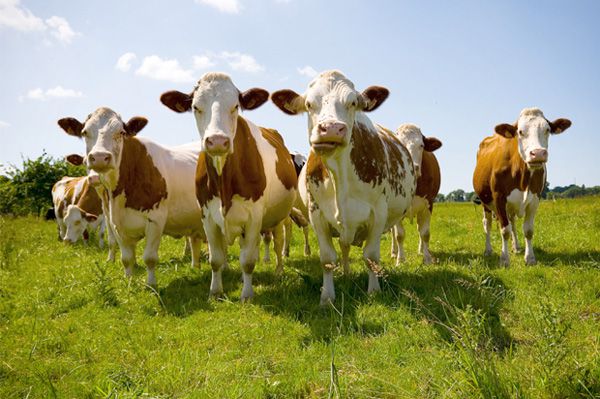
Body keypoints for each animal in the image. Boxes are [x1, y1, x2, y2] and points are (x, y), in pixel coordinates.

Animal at [57, 108, 206, 286]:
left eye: (121, 132)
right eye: (84, 132)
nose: (99, 157)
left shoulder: (156, 221)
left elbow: (149, 258)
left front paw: (151, 284)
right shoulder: (115, 223)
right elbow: (126, 258)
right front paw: (129, 283)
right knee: (195, 240)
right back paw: (195, 267)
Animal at [162, 72, 298, 304]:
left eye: (235, 106)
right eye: (196, 107)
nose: (217, 141)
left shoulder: (254, 217)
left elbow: (248, 260)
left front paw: (247, 294)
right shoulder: (207, 216)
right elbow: (215, 258)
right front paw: (215, 291)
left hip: (279, 216)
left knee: (278, 241)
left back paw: (279, 270)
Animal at [272, 70, 418, 304]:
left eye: (352, 102)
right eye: (309, 104)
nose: (331, 128)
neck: (340, 176)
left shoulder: (379, 212)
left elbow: (371, 256)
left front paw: (374, 291)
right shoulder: (317, 214)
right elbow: (328, 258)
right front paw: (327, 296)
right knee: (344, 245)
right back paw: (347, 272)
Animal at [392, 123, 442, 264]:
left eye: (421, 145)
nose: (414, 167)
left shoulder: (428, 204)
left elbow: (425, 233)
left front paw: (427, 258)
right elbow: (399, 235)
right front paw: (400, 260)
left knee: (420, 228)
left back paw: (421, 250)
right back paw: (394, 252)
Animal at [474, 108, 572, 268]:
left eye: (547, 130)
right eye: (520, 131)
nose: (538, 153)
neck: (522, 177)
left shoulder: (535, 199)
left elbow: (528, 230)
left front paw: (530, 258)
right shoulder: (499, 198)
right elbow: (504, 230)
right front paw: (504, 260)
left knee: (512, 222)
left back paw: (516, 247)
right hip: (485, 202)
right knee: (487, 224)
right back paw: (488, 250)